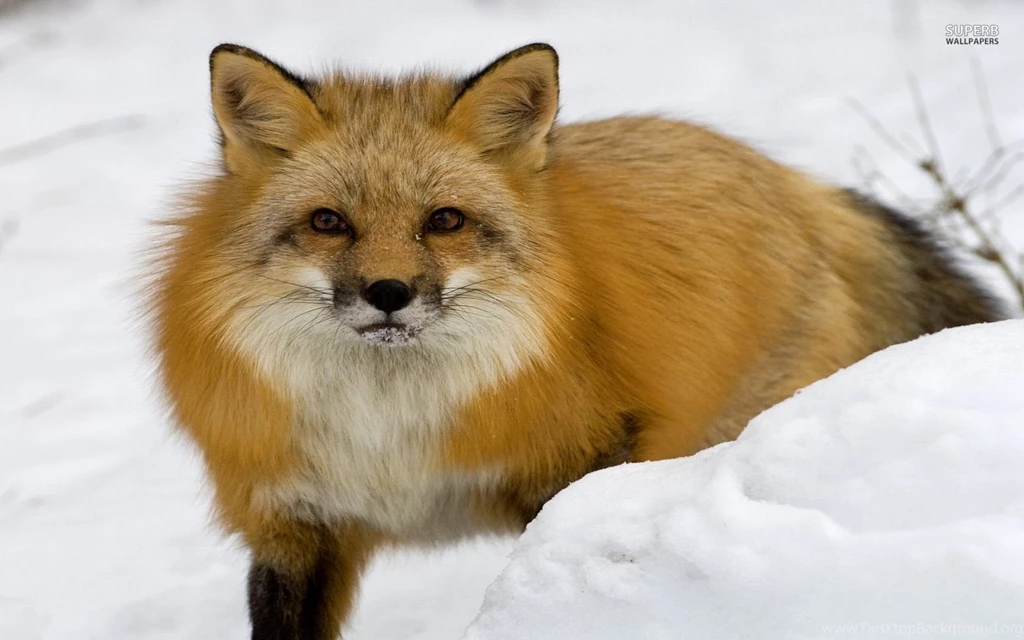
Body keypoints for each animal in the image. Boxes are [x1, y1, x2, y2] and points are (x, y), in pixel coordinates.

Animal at [149, 42, 1003, 639]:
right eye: (328, 222)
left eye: (444, 221)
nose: (388, 293)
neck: (389, 433)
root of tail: (792, 181)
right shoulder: (296, 521)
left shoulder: (575, 465)